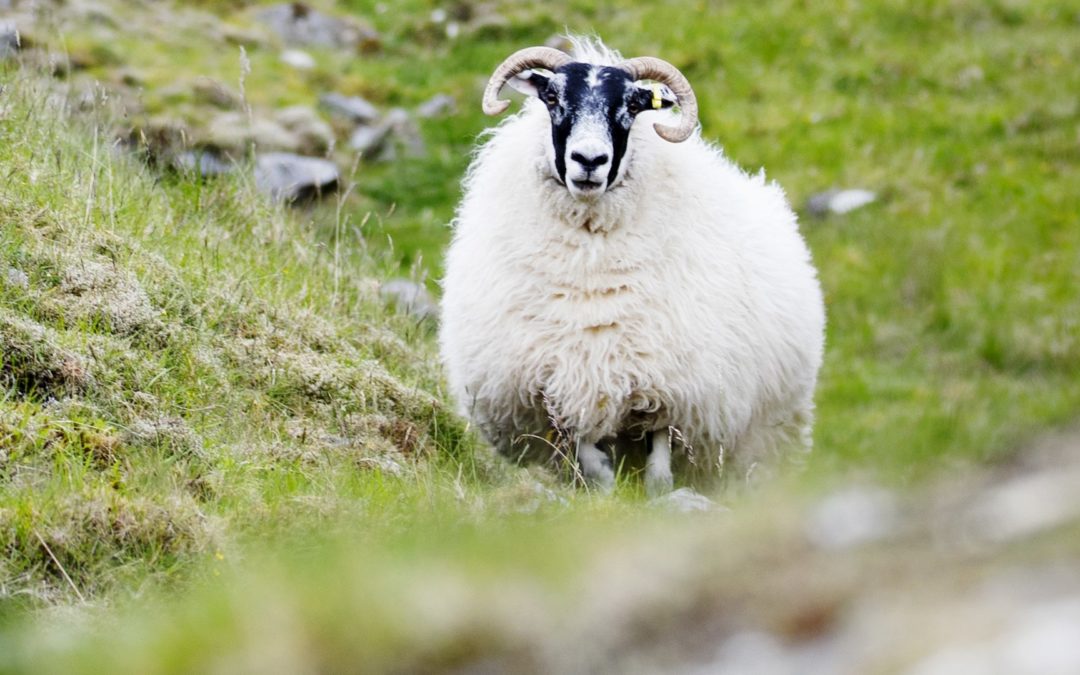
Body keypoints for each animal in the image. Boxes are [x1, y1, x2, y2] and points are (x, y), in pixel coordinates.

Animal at [438, 38, 825, 494]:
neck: (591, 262)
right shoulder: (561, 387)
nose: (589, 159)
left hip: (768, 436)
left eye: (633, 105)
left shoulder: (669, 390)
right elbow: (593, 462)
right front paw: (605, 492)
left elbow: (659, 468)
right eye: (552, 98)